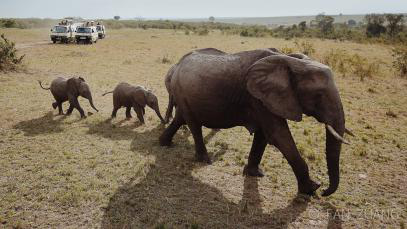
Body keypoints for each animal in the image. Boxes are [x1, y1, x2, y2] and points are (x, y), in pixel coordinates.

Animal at [161, 47, 352, 196]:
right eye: (318, 95)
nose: (325, 191)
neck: (289, 61)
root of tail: (178, 65)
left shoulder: (264, 99)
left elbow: (264, 135)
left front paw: (254, 173)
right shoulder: (258, 97)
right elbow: (278, 135)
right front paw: (311, 189)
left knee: (181, 119)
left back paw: (164, 143)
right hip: (182, 91)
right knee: (193, 124)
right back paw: (204, 160)